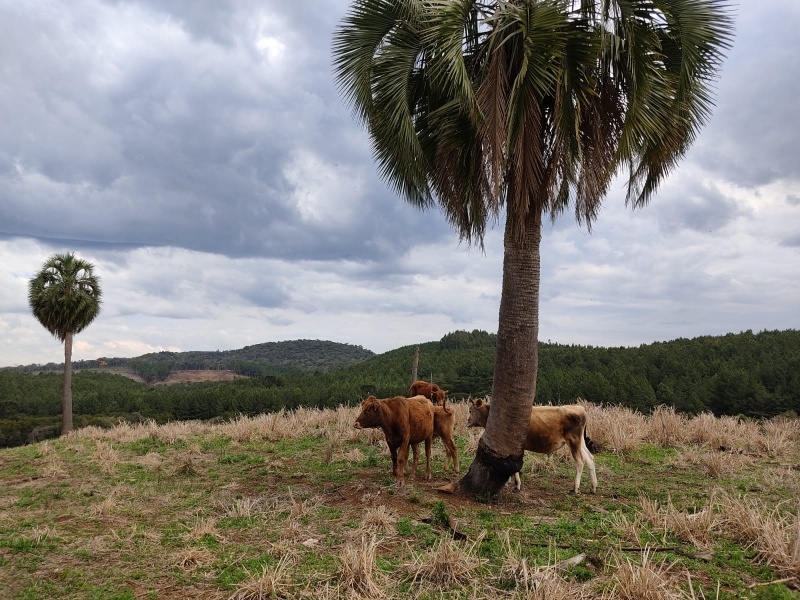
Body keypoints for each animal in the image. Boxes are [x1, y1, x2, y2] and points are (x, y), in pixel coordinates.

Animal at [466, 398, 596, 492]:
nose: (467, 421)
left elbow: (514, 465)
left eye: (470, 410)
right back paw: (593, 487)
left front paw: (516, 485)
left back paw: (575, 488)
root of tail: (579, 408)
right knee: (590, 459)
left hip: (573, 441)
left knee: (580, 462)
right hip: (580, 442)